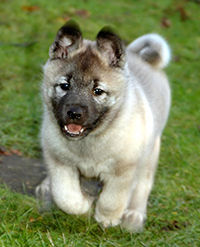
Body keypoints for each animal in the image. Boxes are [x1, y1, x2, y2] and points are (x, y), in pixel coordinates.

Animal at [36, 18, 170, 232]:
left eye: (98, 91)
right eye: (64, 86)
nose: (74, 113)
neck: (90, 140)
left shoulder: (123, 171)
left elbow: (112, 199)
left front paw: (107, 218)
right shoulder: (59, 161)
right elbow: (65, 195)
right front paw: (83, 204)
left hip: (149, 154)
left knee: (143, 185)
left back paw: (134, 215)